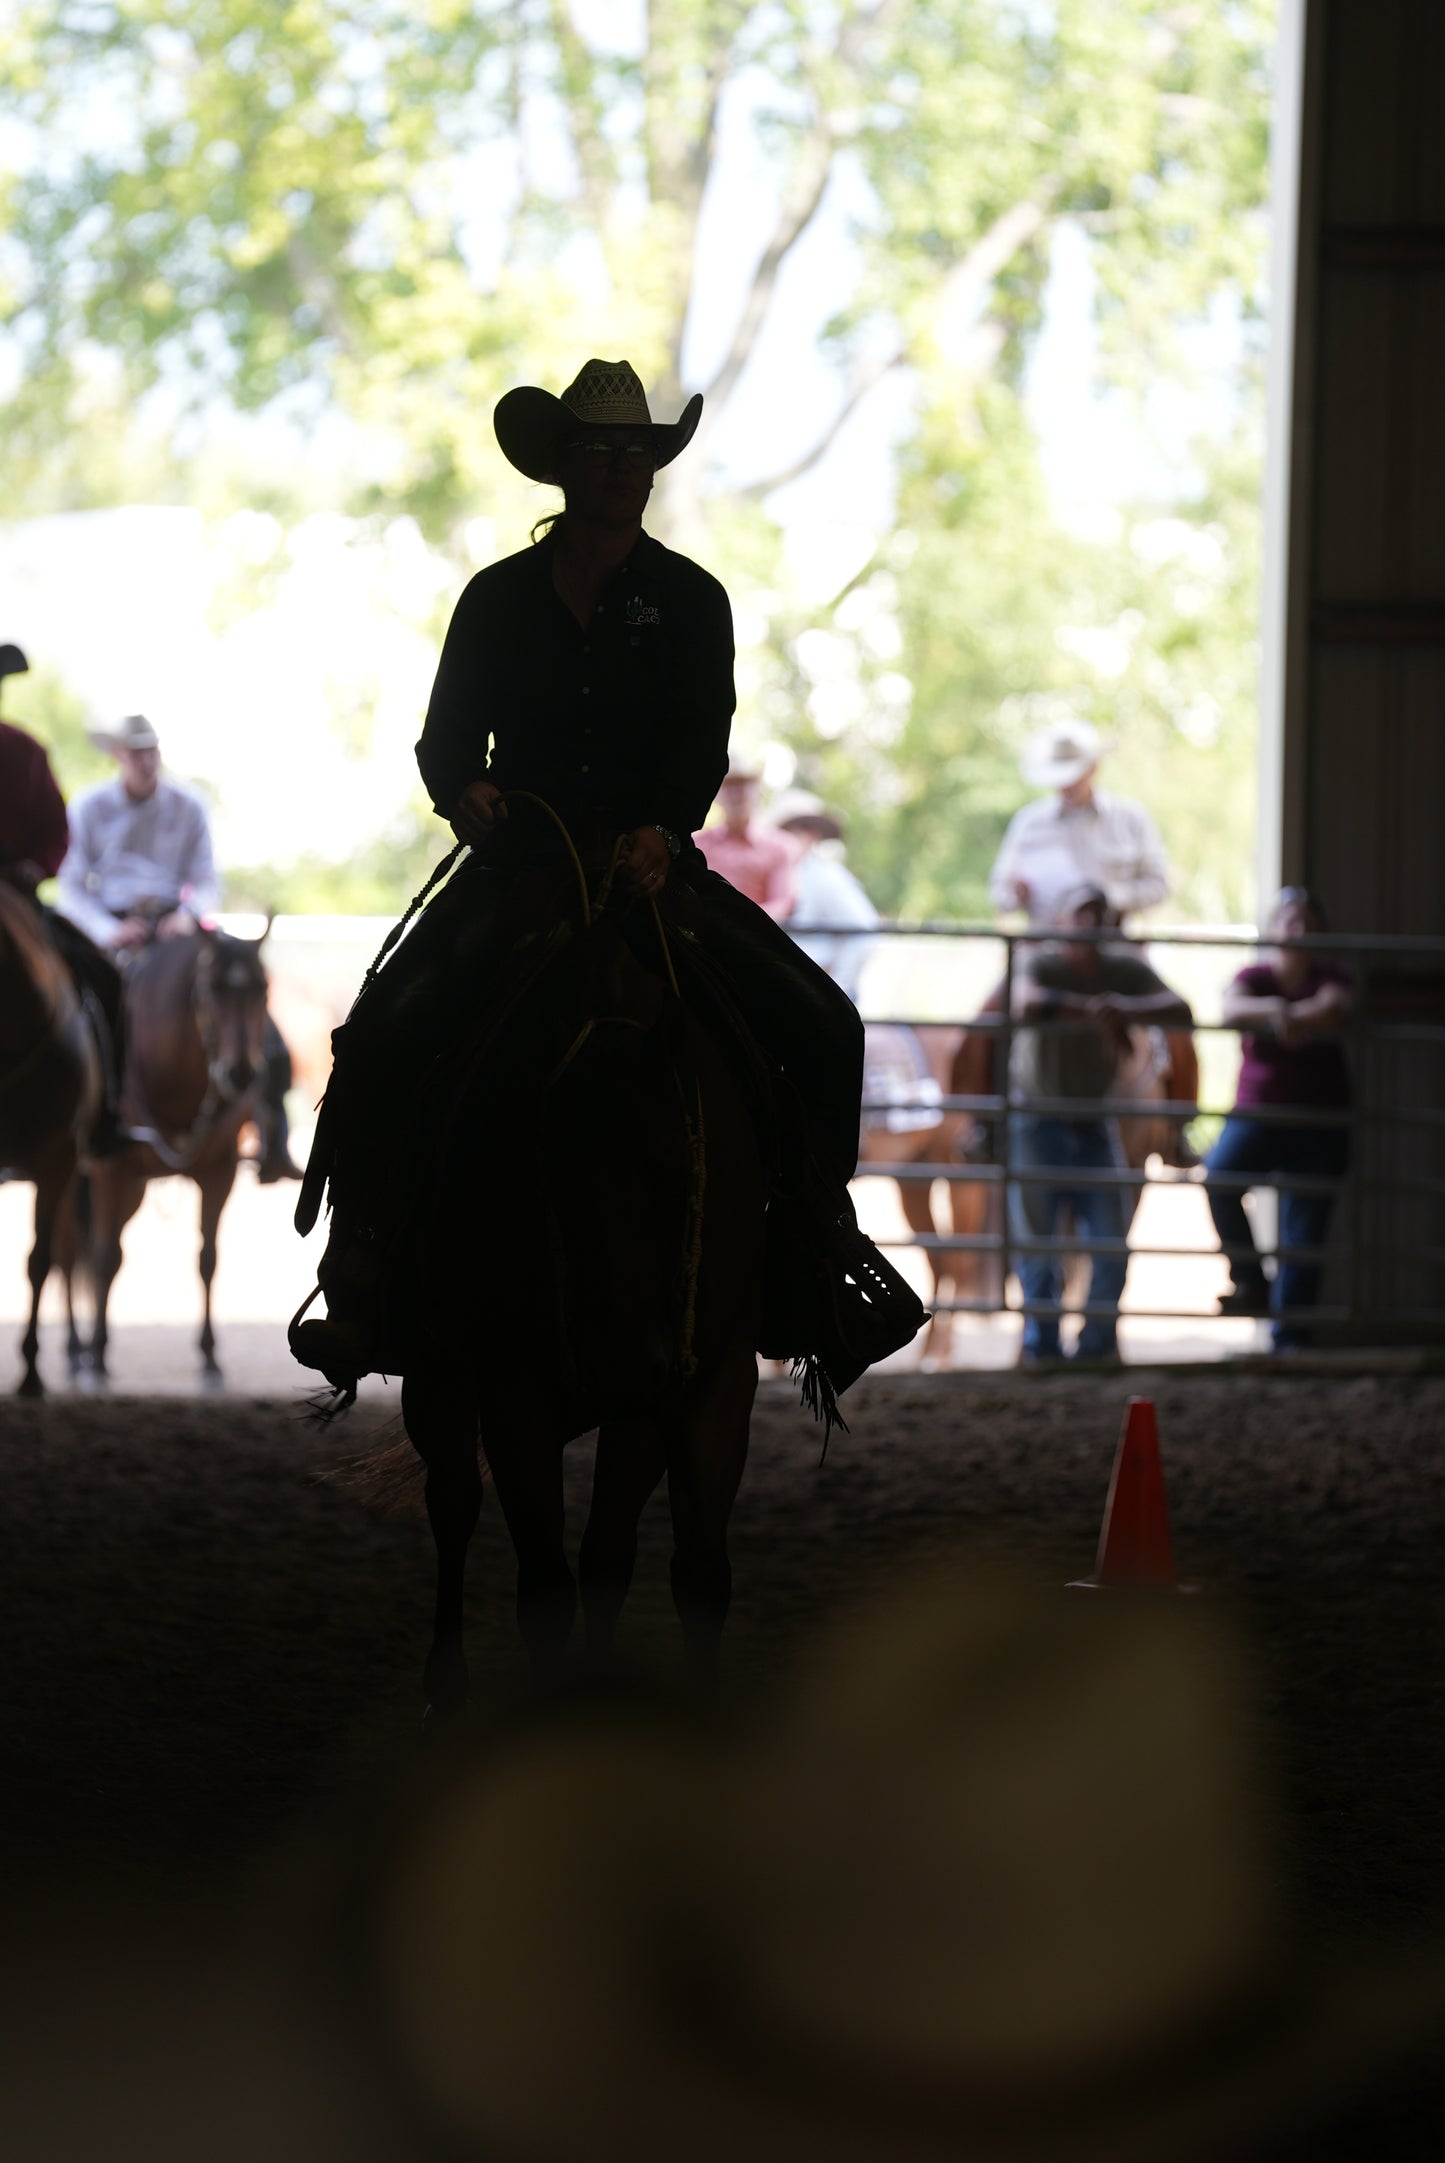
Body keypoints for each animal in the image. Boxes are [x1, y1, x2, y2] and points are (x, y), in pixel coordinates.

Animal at [84, 921, 273, 1375]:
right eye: (210, 989)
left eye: (263, 988)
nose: (241, 1073)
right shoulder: (108, 1172)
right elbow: (105, 1256)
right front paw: (97, 1353)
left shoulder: (220, 1172)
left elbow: (208, 1258)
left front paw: (209, 1354)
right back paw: (74, 1350)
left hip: (134, 1190)